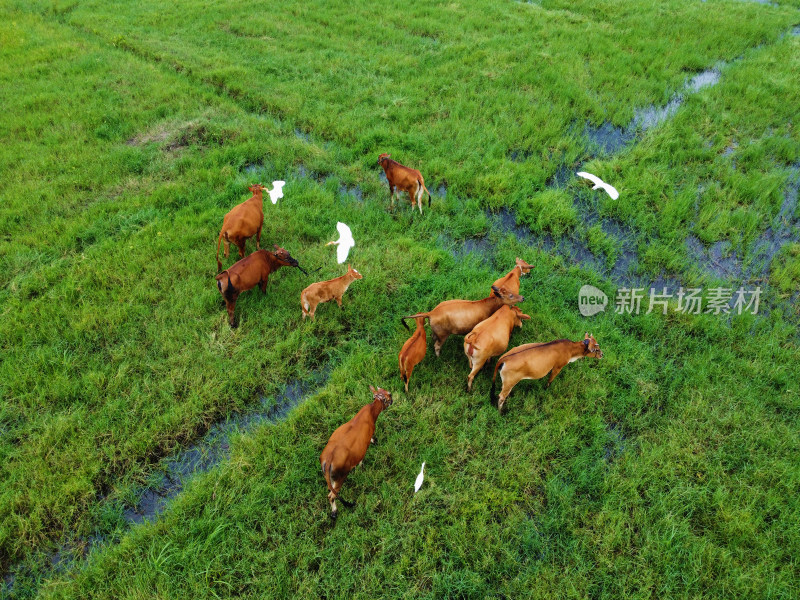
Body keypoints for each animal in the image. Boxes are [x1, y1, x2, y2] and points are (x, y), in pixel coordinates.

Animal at [318, 386, 394, 516]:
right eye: (389, 394)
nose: (393, 399)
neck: (372, 412)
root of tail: (328, 460)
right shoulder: (365, 444)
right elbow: (362, 456)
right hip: (340, 477)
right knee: (331, 495)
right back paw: (334, 512)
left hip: (332, 478)